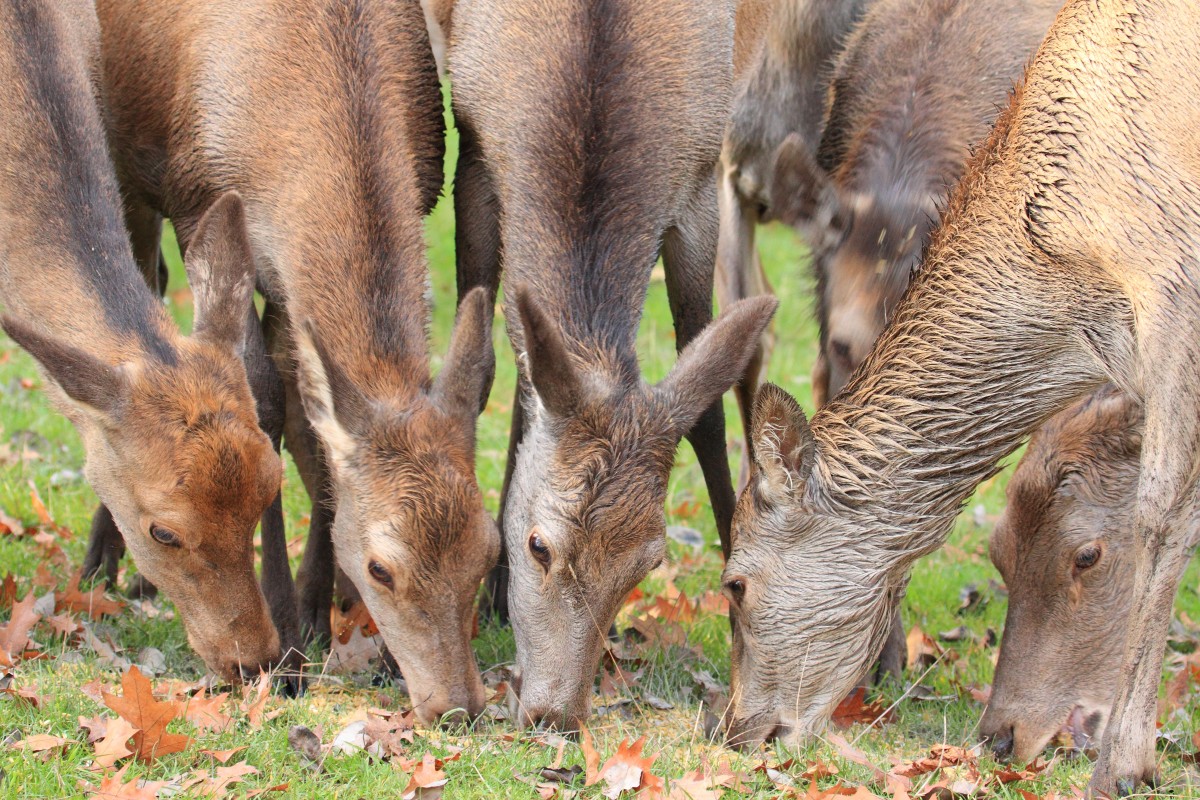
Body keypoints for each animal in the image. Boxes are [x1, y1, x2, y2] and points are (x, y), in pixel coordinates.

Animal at [92, 0, 496, 724]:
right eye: (383, 568)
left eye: (489, 549)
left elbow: (315, 423)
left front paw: (322, 613)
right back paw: (106, 566)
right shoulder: (196, 200)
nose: (460, 704)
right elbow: (269, 406)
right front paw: (286, 645)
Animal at [451, 0, 777, 729]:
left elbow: (706, 410)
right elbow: (476, 364)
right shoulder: (475, 149)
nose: (554, 714)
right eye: (540, 545)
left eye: (646, 565)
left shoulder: (699, 183)